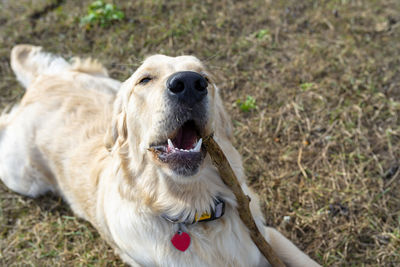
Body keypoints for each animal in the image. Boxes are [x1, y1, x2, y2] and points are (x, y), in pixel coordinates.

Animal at [0, 45, 318, 266]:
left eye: (206, 78)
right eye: (145, 79)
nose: (190, 83)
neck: (191, 209)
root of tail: (41, 83)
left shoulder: (268, 236)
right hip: (20, 175)